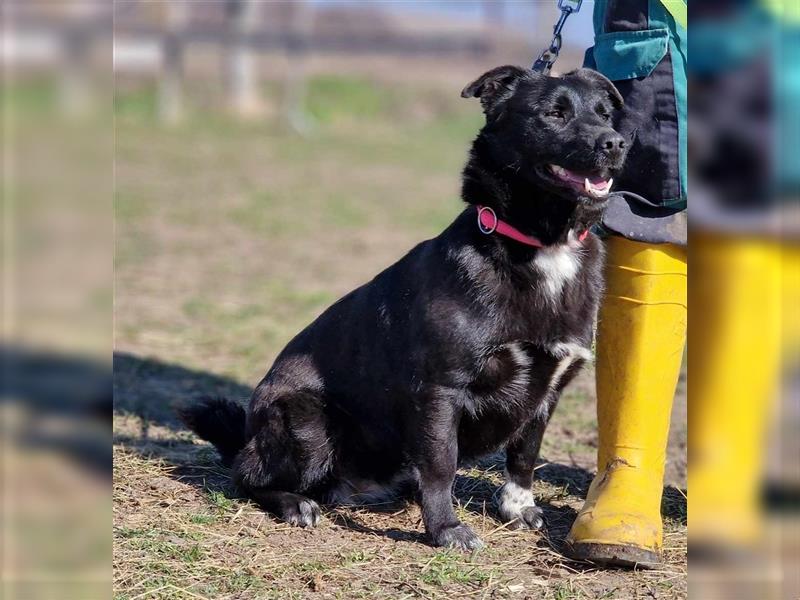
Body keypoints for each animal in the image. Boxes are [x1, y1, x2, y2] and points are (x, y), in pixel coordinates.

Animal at [180, 65, 624, 548]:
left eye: (605, 114)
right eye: (554, 114)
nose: (616, 143)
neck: (541, 246)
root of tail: (246, 434)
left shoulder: (548, 390)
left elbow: (525, 454)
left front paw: (517, 507)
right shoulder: (441, 389)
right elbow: (442, 464)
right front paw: (445, 528)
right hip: (307, 419)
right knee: (245, 477)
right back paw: (295, 503)